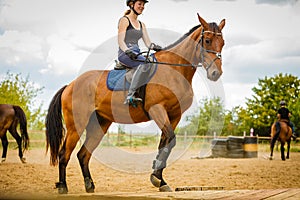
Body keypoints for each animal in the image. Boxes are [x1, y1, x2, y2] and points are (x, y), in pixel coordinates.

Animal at [45, 14, 226, 194]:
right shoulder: (157, 109)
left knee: (83, 154)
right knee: (64, 154)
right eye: (207, 40)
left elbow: (165, 143)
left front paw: (160, 180)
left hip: (99, 124)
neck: (174, 70)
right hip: (76, 125)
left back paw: (89, 186)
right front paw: (156, 178)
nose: (216, 74)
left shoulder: (174, 115)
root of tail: (70, 85)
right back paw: (63, 186)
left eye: (223, 42)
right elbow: (170, 140)